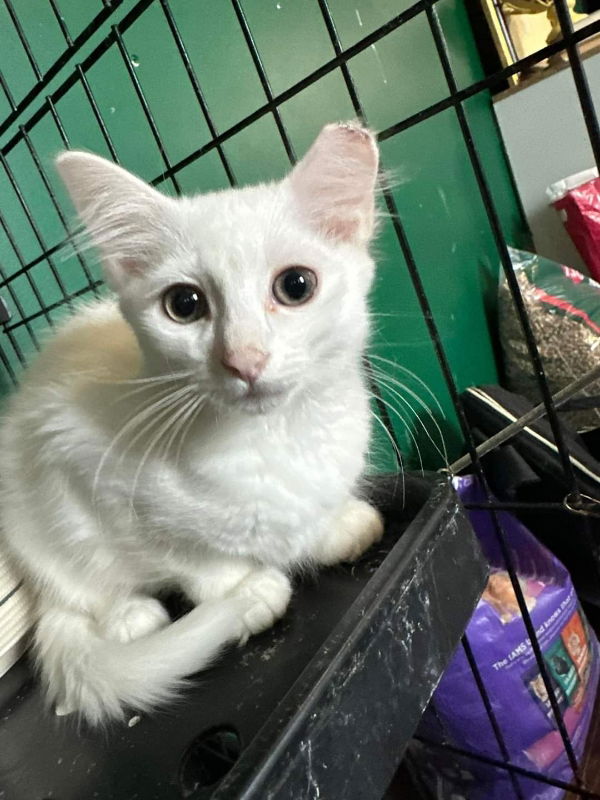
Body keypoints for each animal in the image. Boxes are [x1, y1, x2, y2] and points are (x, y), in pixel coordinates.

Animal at [0, 123, 384, 724]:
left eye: (296, 286)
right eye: (184, 304)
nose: (244, 359)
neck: (270, 439)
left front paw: (333, 525)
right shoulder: (77, 453)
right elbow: (184, 554)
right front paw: (244, 591)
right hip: (29, 516)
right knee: (77, 586)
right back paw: (128, 614)